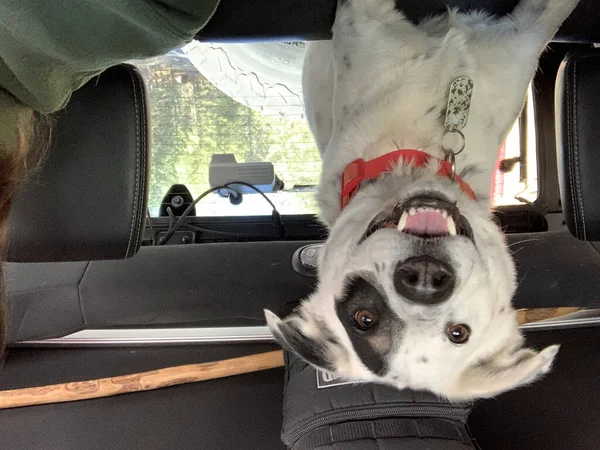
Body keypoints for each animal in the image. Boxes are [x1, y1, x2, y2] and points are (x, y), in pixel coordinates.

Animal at [264, 0, 580, 400]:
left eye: (459, 334)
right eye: (364, 319)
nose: (424, 281)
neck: (423, 155)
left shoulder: (523, 42)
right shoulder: (362, 25)